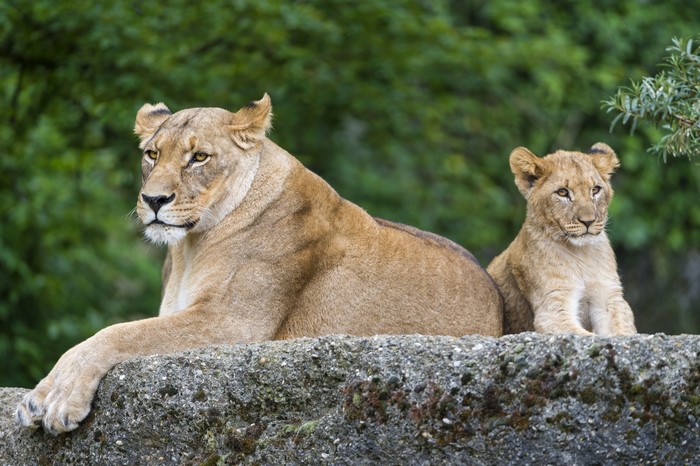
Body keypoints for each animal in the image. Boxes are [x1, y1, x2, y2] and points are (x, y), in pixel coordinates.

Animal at [16, 94, 503, 434]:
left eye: (199, 157)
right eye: (152, 154)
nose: (153, 200)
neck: (190, 247)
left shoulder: (234, 324)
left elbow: (117, 334)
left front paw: (56, 398)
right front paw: (38, 397)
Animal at [486, 143, 637, 336]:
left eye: (595, 189)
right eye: (563, 192)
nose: (588, 221)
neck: (583, 253)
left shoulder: (608, 296)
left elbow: (622, 331)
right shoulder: (552, 306)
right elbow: (584, 335)